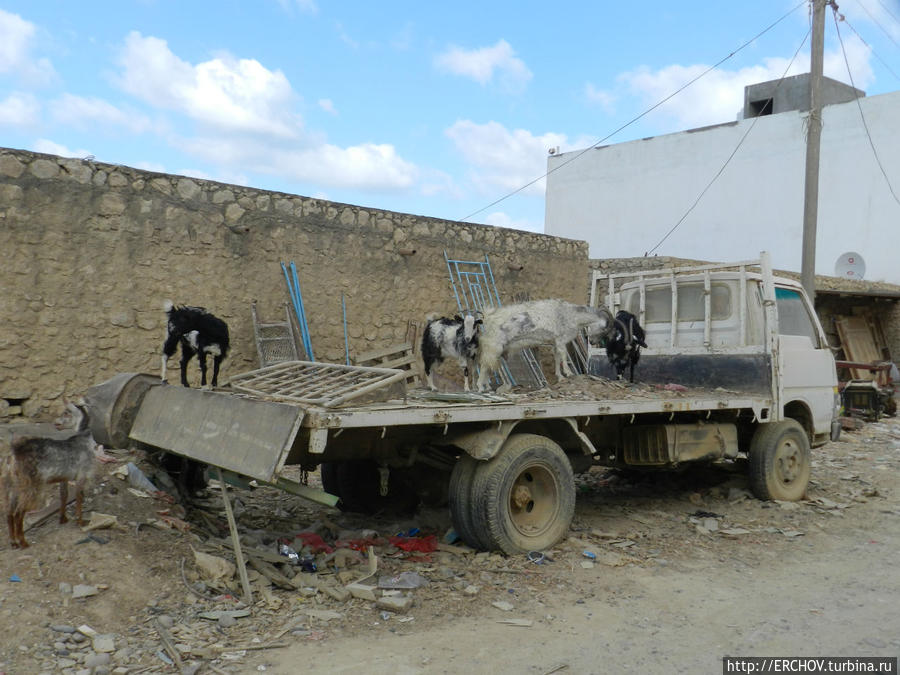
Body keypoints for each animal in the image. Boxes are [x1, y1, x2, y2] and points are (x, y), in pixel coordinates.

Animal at [474, 300, 616, 394]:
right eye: (604, 328)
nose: (592, 341)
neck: (572, 315)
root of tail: (488, 317)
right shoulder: (561, 340)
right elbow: (563, 356)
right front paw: (569, 373)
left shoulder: (555, 342)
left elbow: (557, 358)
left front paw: (560, 377)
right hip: (495, 344)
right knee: (485, 364)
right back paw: (481, 387)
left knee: (488, 364)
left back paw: (487, 387)